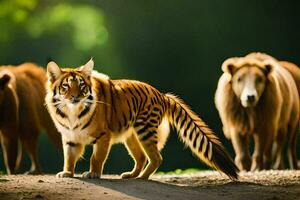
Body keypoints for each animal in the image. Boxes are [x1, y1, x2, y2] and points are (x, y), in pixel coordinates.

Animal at [44, 59, 238, 180]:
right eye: (66, 86)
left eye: (81, 86)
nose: (75, 97)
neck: (72, 113)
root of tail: (162, 94)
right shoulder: (70, 137)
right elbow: (69, 157)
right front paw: (67, 173)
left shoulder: (103, 136)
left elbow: (96, 158)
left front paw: (92, 174)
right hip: (132, 136)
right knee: (142, 157)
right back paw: (131, 175)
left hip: (145, 130)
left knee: (156, 157)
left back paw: (143, 177)